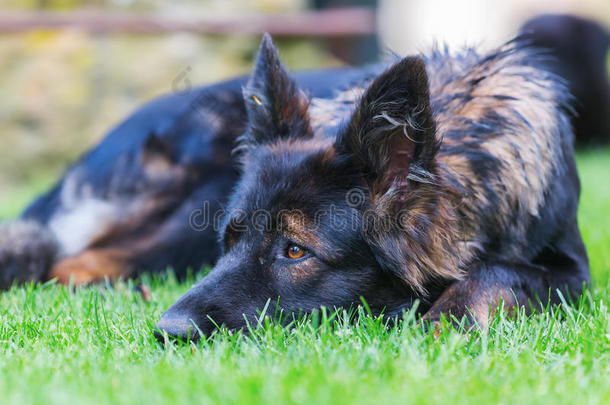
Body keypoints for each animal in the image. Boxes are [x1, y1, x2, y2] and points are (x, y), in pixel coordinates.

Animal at [0, 33, 588, 340]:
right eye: (230, 241)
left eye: (295, 251)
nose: (169, 330)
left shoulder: (575, 273)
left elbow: (501, 271)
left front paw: (447, 322)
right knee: (68, 262)